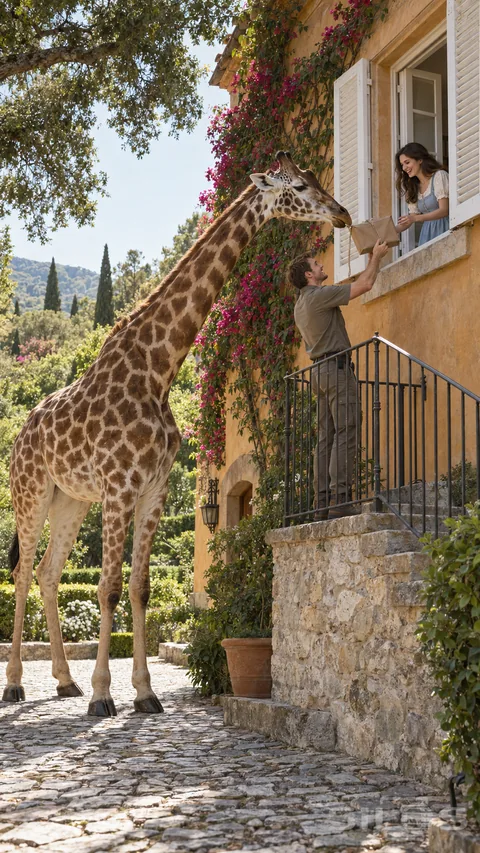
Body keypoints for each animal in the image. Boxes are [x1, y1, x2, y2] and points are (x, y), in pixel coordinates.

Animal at [4, 151, 351, 717]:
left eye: (313, 179)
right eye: (299, 187)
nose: (341, 213)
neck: (158, 369)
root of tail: (19, 434)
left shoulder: (154, 490)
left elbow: (140, 588)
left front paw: (143, 693)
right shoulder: (120, 488)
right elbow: (107, 589)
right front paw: (104, 696)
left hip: (69, 500)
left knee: (49, 574)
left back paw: (63, 681)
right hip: (30, 494)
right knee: (21, 573)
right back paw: (15, 683)